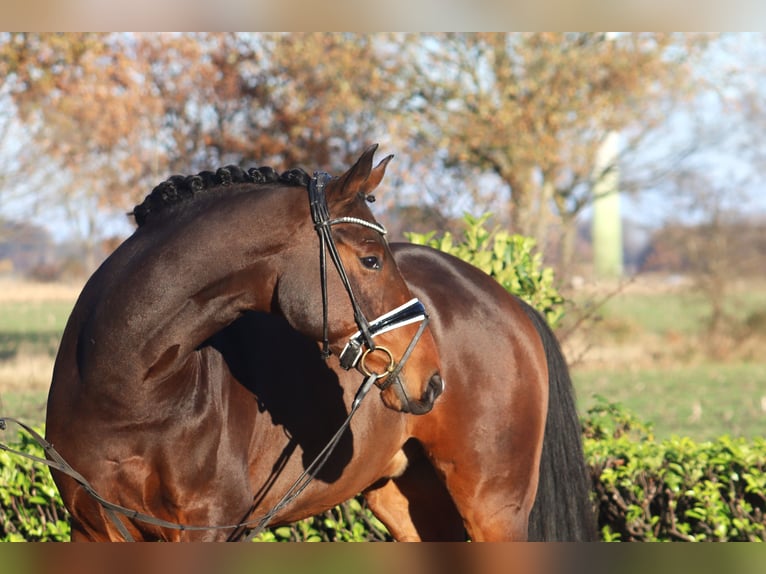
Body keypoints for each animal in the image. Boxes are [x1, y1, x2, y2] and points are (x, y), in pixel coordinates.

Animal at [45, 146, 596, 541]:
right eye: (371, 259)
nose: (432, 379)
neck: (128, 390)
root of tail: (507, 299)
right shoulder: (92, 531)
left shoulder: (205, 531)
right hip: (407, 498)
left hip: (493, 507)